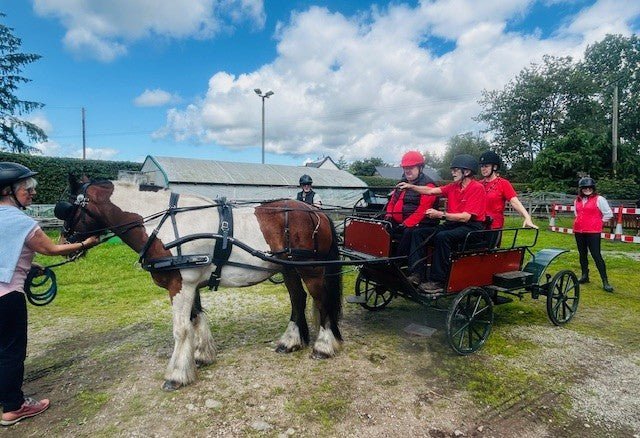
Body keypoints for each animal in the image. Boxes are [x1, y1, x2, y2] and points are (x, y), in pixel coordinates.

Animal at [54, 176, 342, 392]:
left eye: (67, 208)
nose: (64, 243)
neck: (163, 225)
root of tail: (315, 211)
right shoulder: (188, 285)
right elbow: (196, 319)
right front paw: (202, 356)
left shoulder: (181, 284)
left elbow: (181, 329)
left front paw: (176, 375)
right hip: (290, 269)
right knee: (298, 300)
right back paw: (291, 341)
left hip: (312, 270)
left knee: (322, 302)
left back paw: (323, 346)